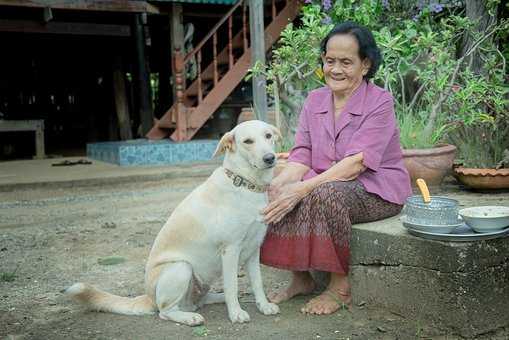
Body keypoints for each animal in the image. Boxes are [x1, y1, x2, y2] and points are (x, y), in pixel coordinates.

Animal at [65, 121, 280, 326]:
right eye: (248, 141)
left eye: (268, 136)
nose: (270, 158)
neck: (246, 184)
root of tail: (149, 297)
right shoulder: (230, 250)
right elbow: (231, 285)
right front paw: (236, 314)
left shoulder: (253, 250)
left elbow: (257, 282)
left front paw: (263, 306)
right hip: (181, 267)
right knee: (165, 312)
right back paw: (190, 318)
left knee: (198, 301)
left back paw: (218, 299)